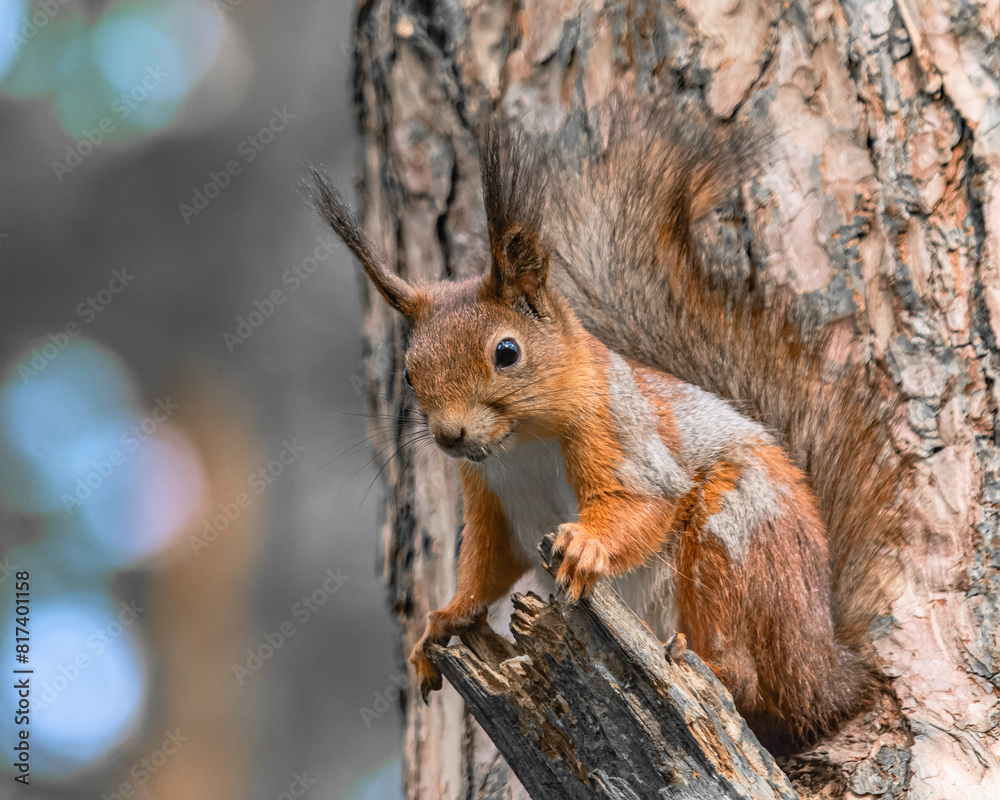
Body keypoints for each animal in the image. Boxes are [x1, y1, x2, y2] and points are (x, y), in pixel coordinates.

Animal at [310, 97, 909, 751]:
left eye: (507, 352)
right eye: (409, 373)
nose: (449, 436)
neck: (521, 445)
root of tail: (826, 668)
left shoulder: (620, 430)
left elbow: (643, 501)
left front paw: (585, 545)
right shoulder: (491, 499)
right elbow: (488, 564)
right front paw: (441, 622)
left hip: (738, 539)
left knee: (744, 671)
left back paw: (714, 665)